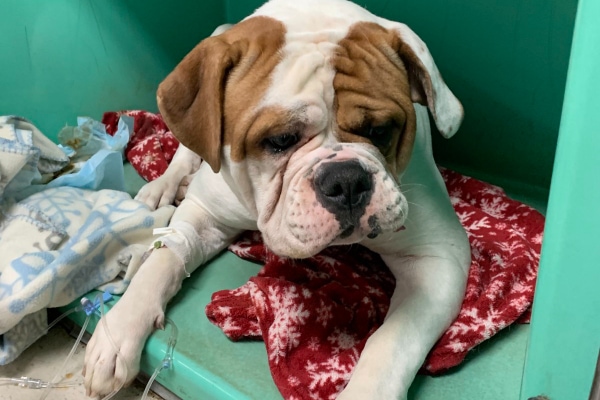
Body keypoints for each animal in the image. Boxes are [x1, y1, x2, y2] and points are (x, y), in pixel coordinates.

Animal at [82, 0, 472, 398]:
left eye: (380, 131)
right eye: (280, 140)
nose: (346, 179)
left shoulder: (436, 257)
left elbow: (393, 340)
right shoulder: (204, 216)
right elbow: (162, 261)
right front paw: (118, 331)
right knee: (185, 153)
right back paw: (164, 185)